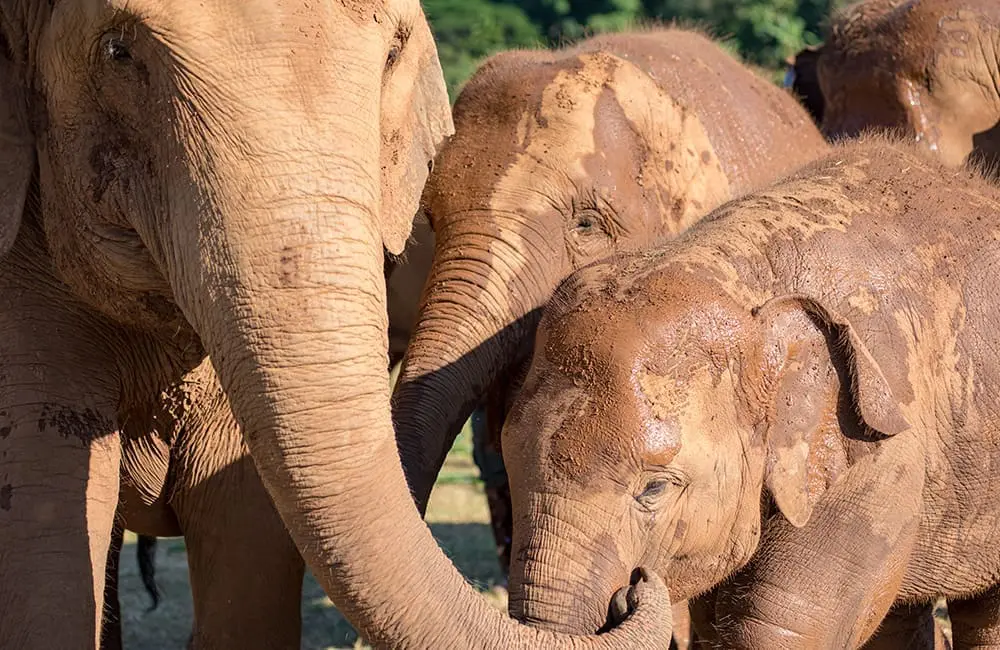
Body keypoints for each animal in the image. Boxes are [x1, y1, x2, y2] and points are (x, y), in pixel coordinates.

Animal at [501, 135, 1000, 648]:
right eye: (508, 461)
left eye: (655, 488)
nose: (635, 586)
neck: (743, 276)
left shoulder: (879, 459)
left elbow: (780, 628)